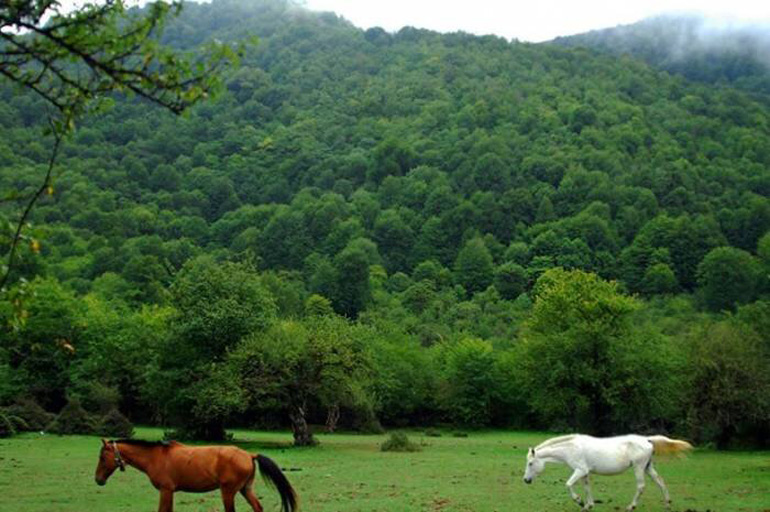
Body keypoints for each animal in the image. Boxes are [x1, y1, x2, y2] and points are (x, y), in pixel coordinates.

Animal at [94, 438, 296, 512]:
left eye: (102, 457)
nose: (98, 479)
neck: (156, 456)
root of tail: (249, 454)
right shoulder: (169, 492)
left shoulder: (165, 491)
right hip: (245, 489)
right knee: (257, 508)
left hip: (228, 492)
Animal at [520, 434, 688, 510]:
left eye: (530, 463)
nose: (526, 480)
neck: (571, 448)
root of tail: (647, 440)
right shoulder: (585, 472)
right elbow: (587, 488)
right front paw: (588, 505)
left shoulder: (580, 470)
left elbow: (568, 485)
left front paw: (579, 501)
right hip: (648, 467)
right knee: (660, 482)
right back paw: (667, 504)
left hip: (639, 468)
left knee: (641, 487)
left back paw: (631, 506)